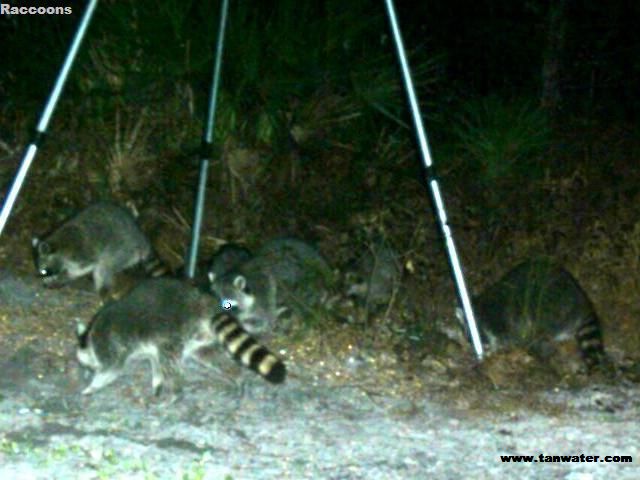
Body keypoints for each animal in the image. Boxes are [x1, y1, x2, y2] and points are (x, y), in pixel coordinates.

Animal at [75, 276, 284, 396]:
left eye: (86, 365)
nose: (86, 373)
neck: (90, 336)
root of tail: (203, 302)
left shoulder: (108, 342)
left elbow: (112, 368)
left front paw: (92, 386)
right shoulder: (145, 347)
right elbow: (154, 360)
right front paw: (157, 381)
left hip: (174, 328)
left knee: (170, 360)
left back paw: (176, 391)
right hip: (198, 336)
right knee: (208, 356)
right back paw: (236, 376)